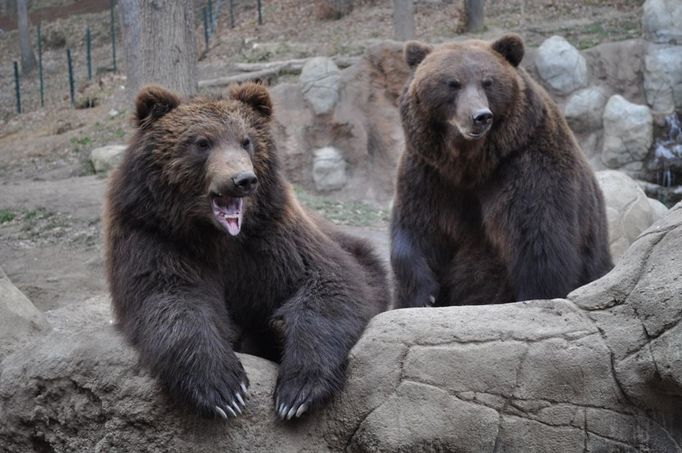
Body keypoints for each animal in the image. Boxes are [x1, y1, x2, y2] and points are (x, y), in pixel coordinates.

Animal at [101, 82, 388, 420]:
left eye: (246, 140)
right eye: (202, 142)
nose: (243, 180)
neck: (215, 236)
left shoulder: (272, 238)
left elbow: (330, 283)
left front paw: (297, 391)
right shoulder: (153, 236)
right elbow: (170, 300)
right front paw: (224, 389)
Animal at [390, 34, 612, 308]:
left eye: (488, 82)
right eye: (452, 83)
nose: (480, 116)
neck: (470, 162)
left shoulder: (525, 165)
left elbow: (539, 240)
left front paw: (535, 295)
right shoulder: (428, 173)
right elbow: (417, 228)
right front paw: (424, 295)